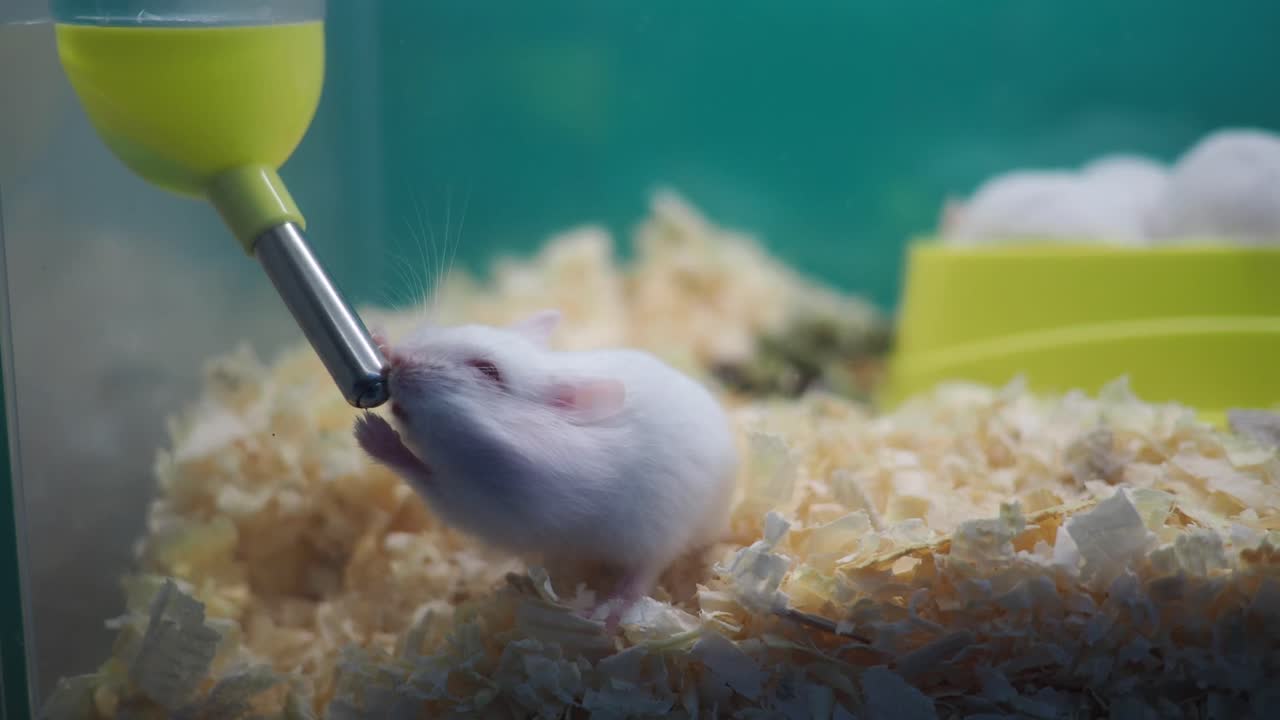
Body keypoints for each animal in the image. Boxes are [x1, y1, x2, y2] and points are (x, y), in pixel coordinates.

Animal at [354, 309, 739, 630]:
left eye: (487, 371)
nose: (396, 363)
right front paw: (381, 338)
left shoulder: (487, 504)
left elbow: (423, 476)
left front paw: (368, 430)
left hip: (656, 533)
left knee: (642, 577)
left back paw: (602, 616)